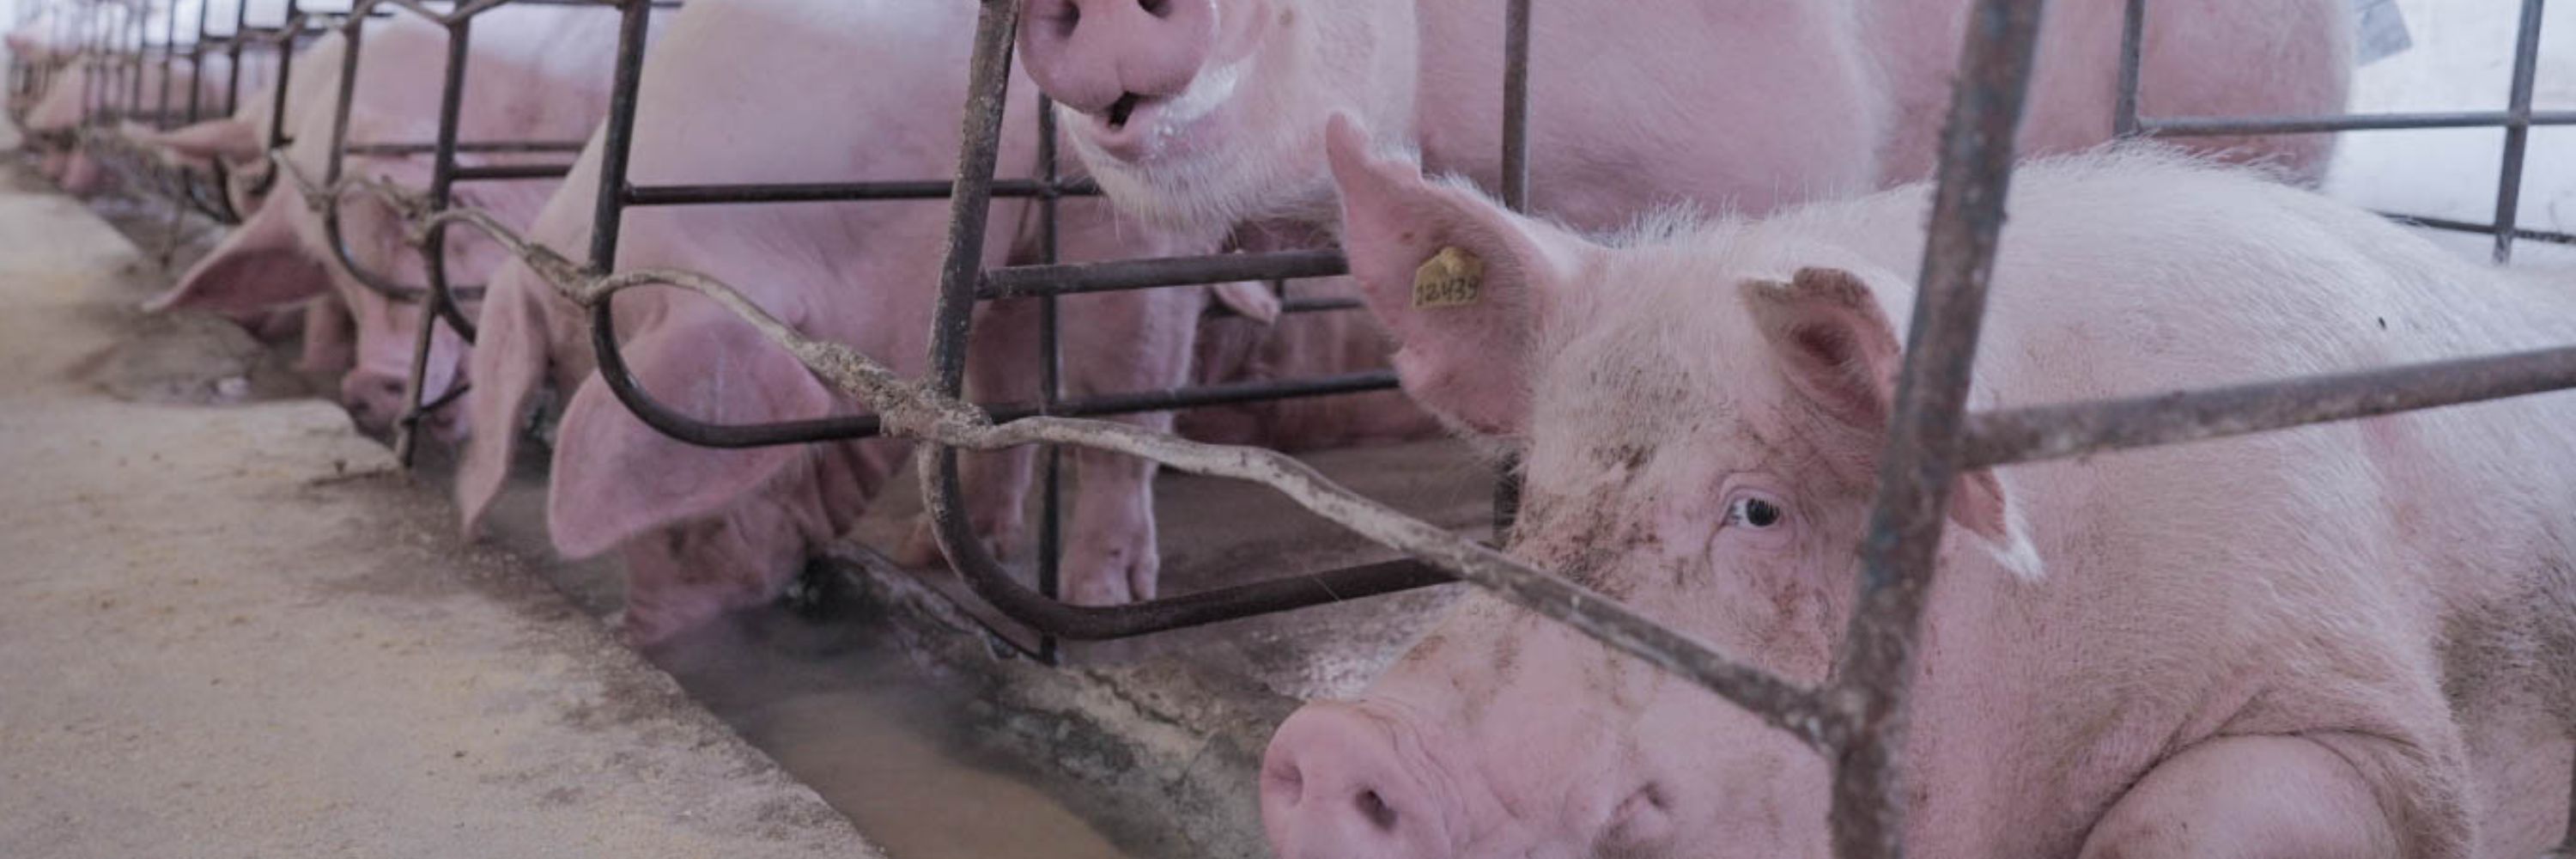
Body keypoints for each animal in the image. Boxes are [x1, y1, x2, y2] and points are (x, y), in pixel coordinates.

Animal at [454, 0, 1278, 644]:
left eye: (695, 514)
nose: (639, 632)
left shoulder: (1124, 221)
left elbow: (1122, 390)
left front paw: (1099, 595)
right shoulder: (1003, 240)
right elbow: (1002, 388)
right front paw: (927, 552)